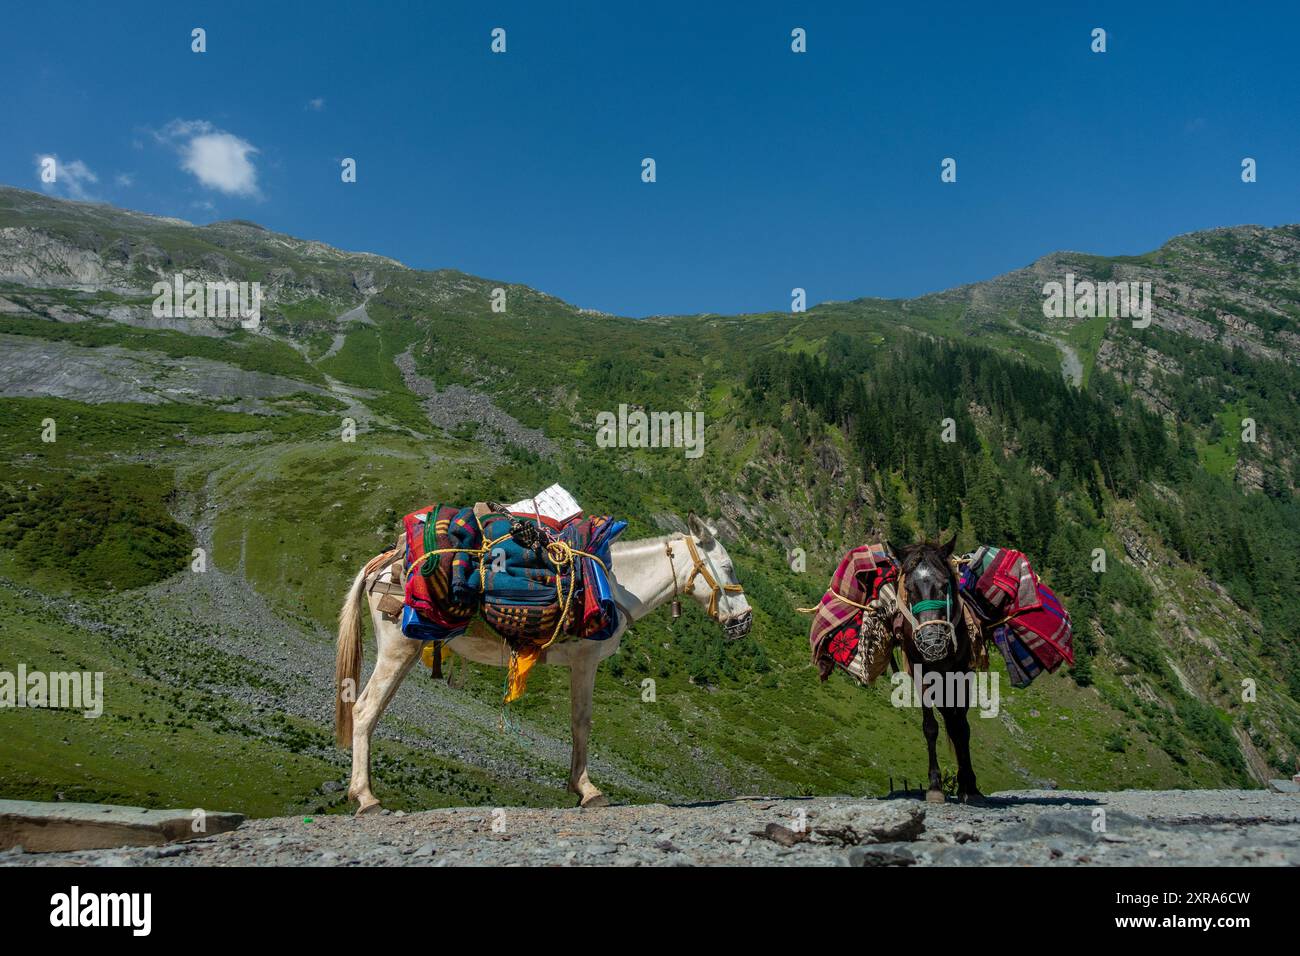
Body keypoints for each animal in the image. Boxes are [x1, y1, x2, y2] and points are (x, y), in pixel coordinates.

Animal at [335, 515, 754, 816]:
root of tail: (382, 563)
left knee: (372, 711)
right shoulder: (585, 662)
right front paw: (587, 790)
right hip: (398, 647)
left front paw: (577, 787)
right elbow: (582, 723)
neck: (614, 584)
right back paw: (367, 799)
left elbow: (577, 723)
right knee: (365, 709)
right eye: (728, 567)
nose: (745, 621)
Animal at [894, 535, 982, 806]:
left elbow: (961, 728)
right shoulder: (920, 671)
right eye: (909, 588)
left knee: (957, 724)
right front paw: (935, 786)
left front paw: (970, 787)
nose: (932, 642)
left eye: (944, 585)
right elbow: (930, 727)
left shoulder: (962, 672)